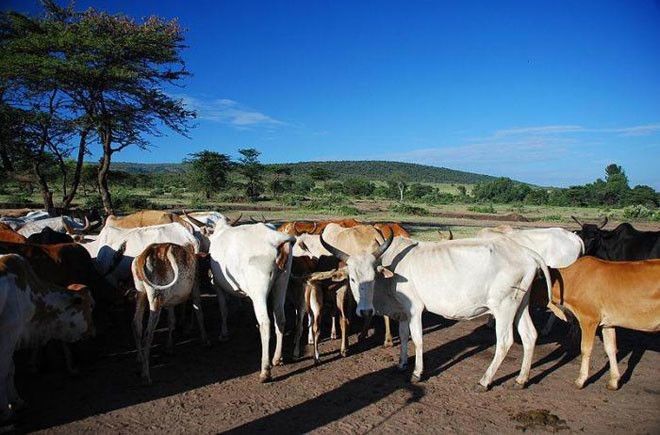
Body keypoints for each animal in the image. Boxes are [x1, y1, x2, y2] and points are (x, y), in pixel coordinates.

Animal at [131, 244, 208, 386]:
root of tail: (147, 252)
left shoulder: (171, 301)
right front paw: (205, 340)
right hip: (156, 298)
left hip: (141, 293)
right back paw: (146, 375)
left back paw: (140, 358)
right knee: (148, 334)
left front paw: (169, 347)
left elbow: (171, 321)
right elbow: (199, 312)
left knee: (136, 324)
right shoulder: (195, 287)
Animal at [210, 221, 296, 382]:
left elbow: (223, 309)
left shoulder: (217, 284)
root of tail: (277, 238)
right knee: (280, 318)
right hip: (282, 280)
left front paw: (223, 334)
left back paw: (265, 370)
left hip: (259, 286)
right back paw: (277, 358)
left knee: (265, 323)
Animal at [322, 237, 564, 390]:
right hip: (520, 304)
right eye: (352, 278)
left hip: (503, 308)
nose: (365, 310)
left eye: (372, 277)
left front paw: (417, 372)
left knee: (505, 342)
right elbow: (404, 337)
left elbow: (418, 340)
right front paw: (402, 364)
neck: (391, 274)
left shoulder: (415, 309)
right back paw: (521, 380)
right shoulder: (403, 312)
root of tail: (526, 252)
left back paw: (485, 381)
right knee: (530, 336)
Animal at [536, 258, 660, 390]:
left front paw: (581, 380)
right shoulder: (608, 323)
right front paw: (614, 381)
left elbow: (585, 349)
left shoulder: (589, 319)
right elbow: (610, 349)